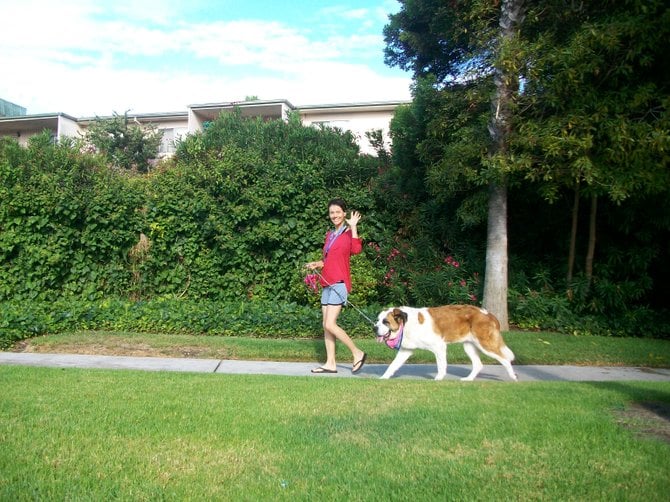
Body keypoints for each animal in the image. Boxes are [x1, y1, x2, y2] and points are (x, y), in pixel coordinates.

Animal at [376, 306, 516, 380]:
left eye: (385, 322)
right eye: (377, 320)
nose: (374, 327)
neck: (406, 324)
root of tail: (487, 313)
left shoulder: (439, 346)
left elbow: (441, 364)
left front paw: (439, 378)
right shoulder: (405, 351)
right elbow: (393, 365)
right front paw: (384, 378)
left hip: (485, 344)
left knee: (505, 359)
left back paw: (513, 377)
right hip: (469, 346)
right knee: (478, 365)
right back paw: (468, 379)